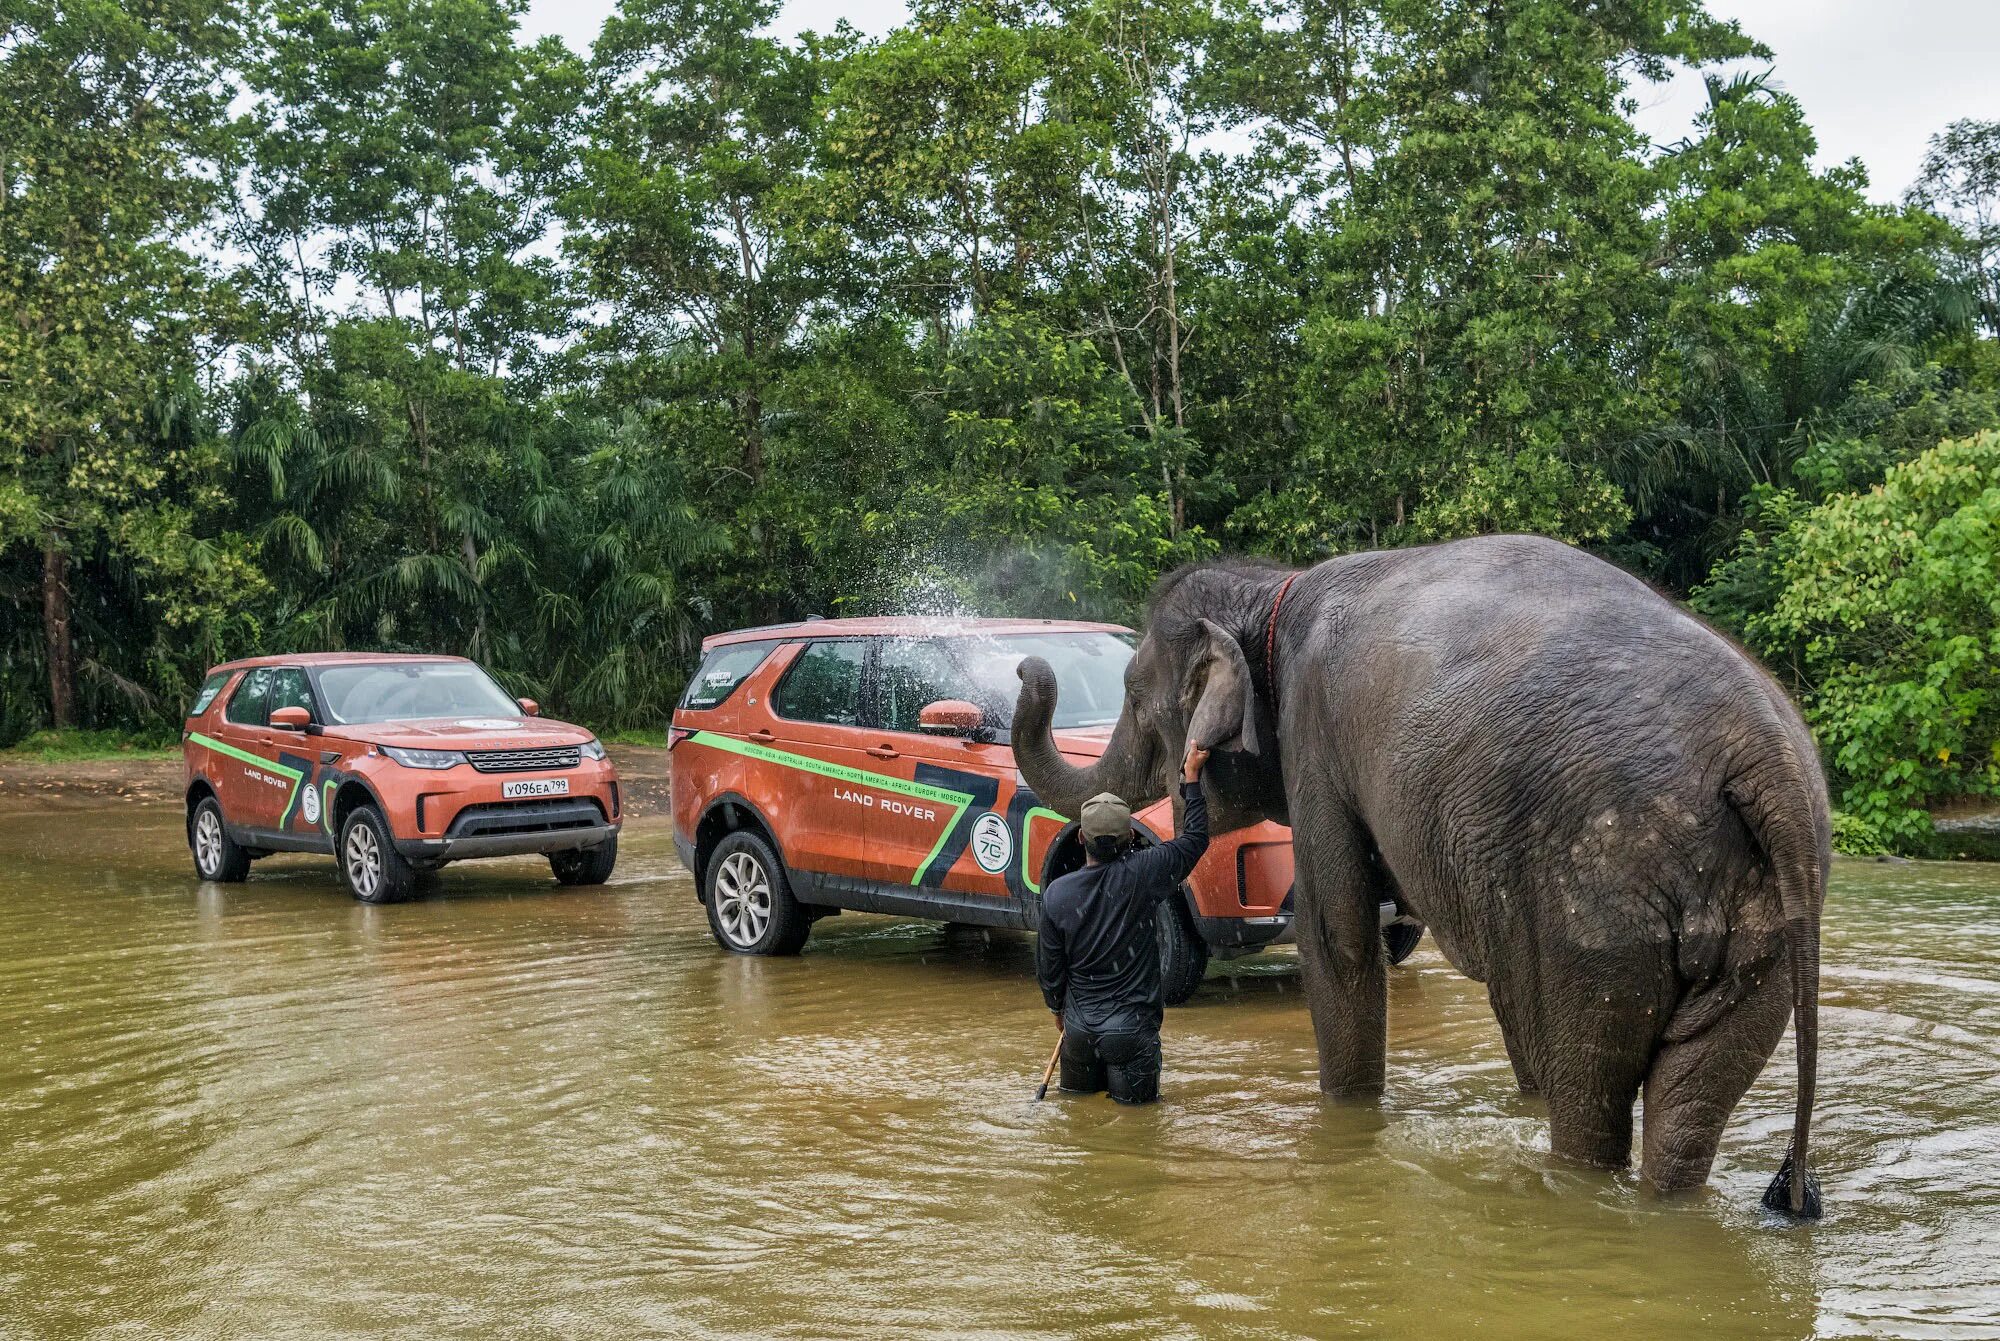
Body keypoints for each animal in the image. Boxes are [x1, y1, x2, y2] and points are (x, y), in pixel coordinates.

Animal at [1016, 532, 1832, 1216]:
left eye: (1131, 695)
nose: (1030, 665)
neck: (1274, 585)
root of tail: (1765, 755)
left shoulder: (1315, 738)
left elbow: (1338, 935)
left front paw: (1347, 1120)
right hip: (1765, 923)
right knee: (1689, 1101)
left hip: (1601, 903)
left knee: (1590, 1094)